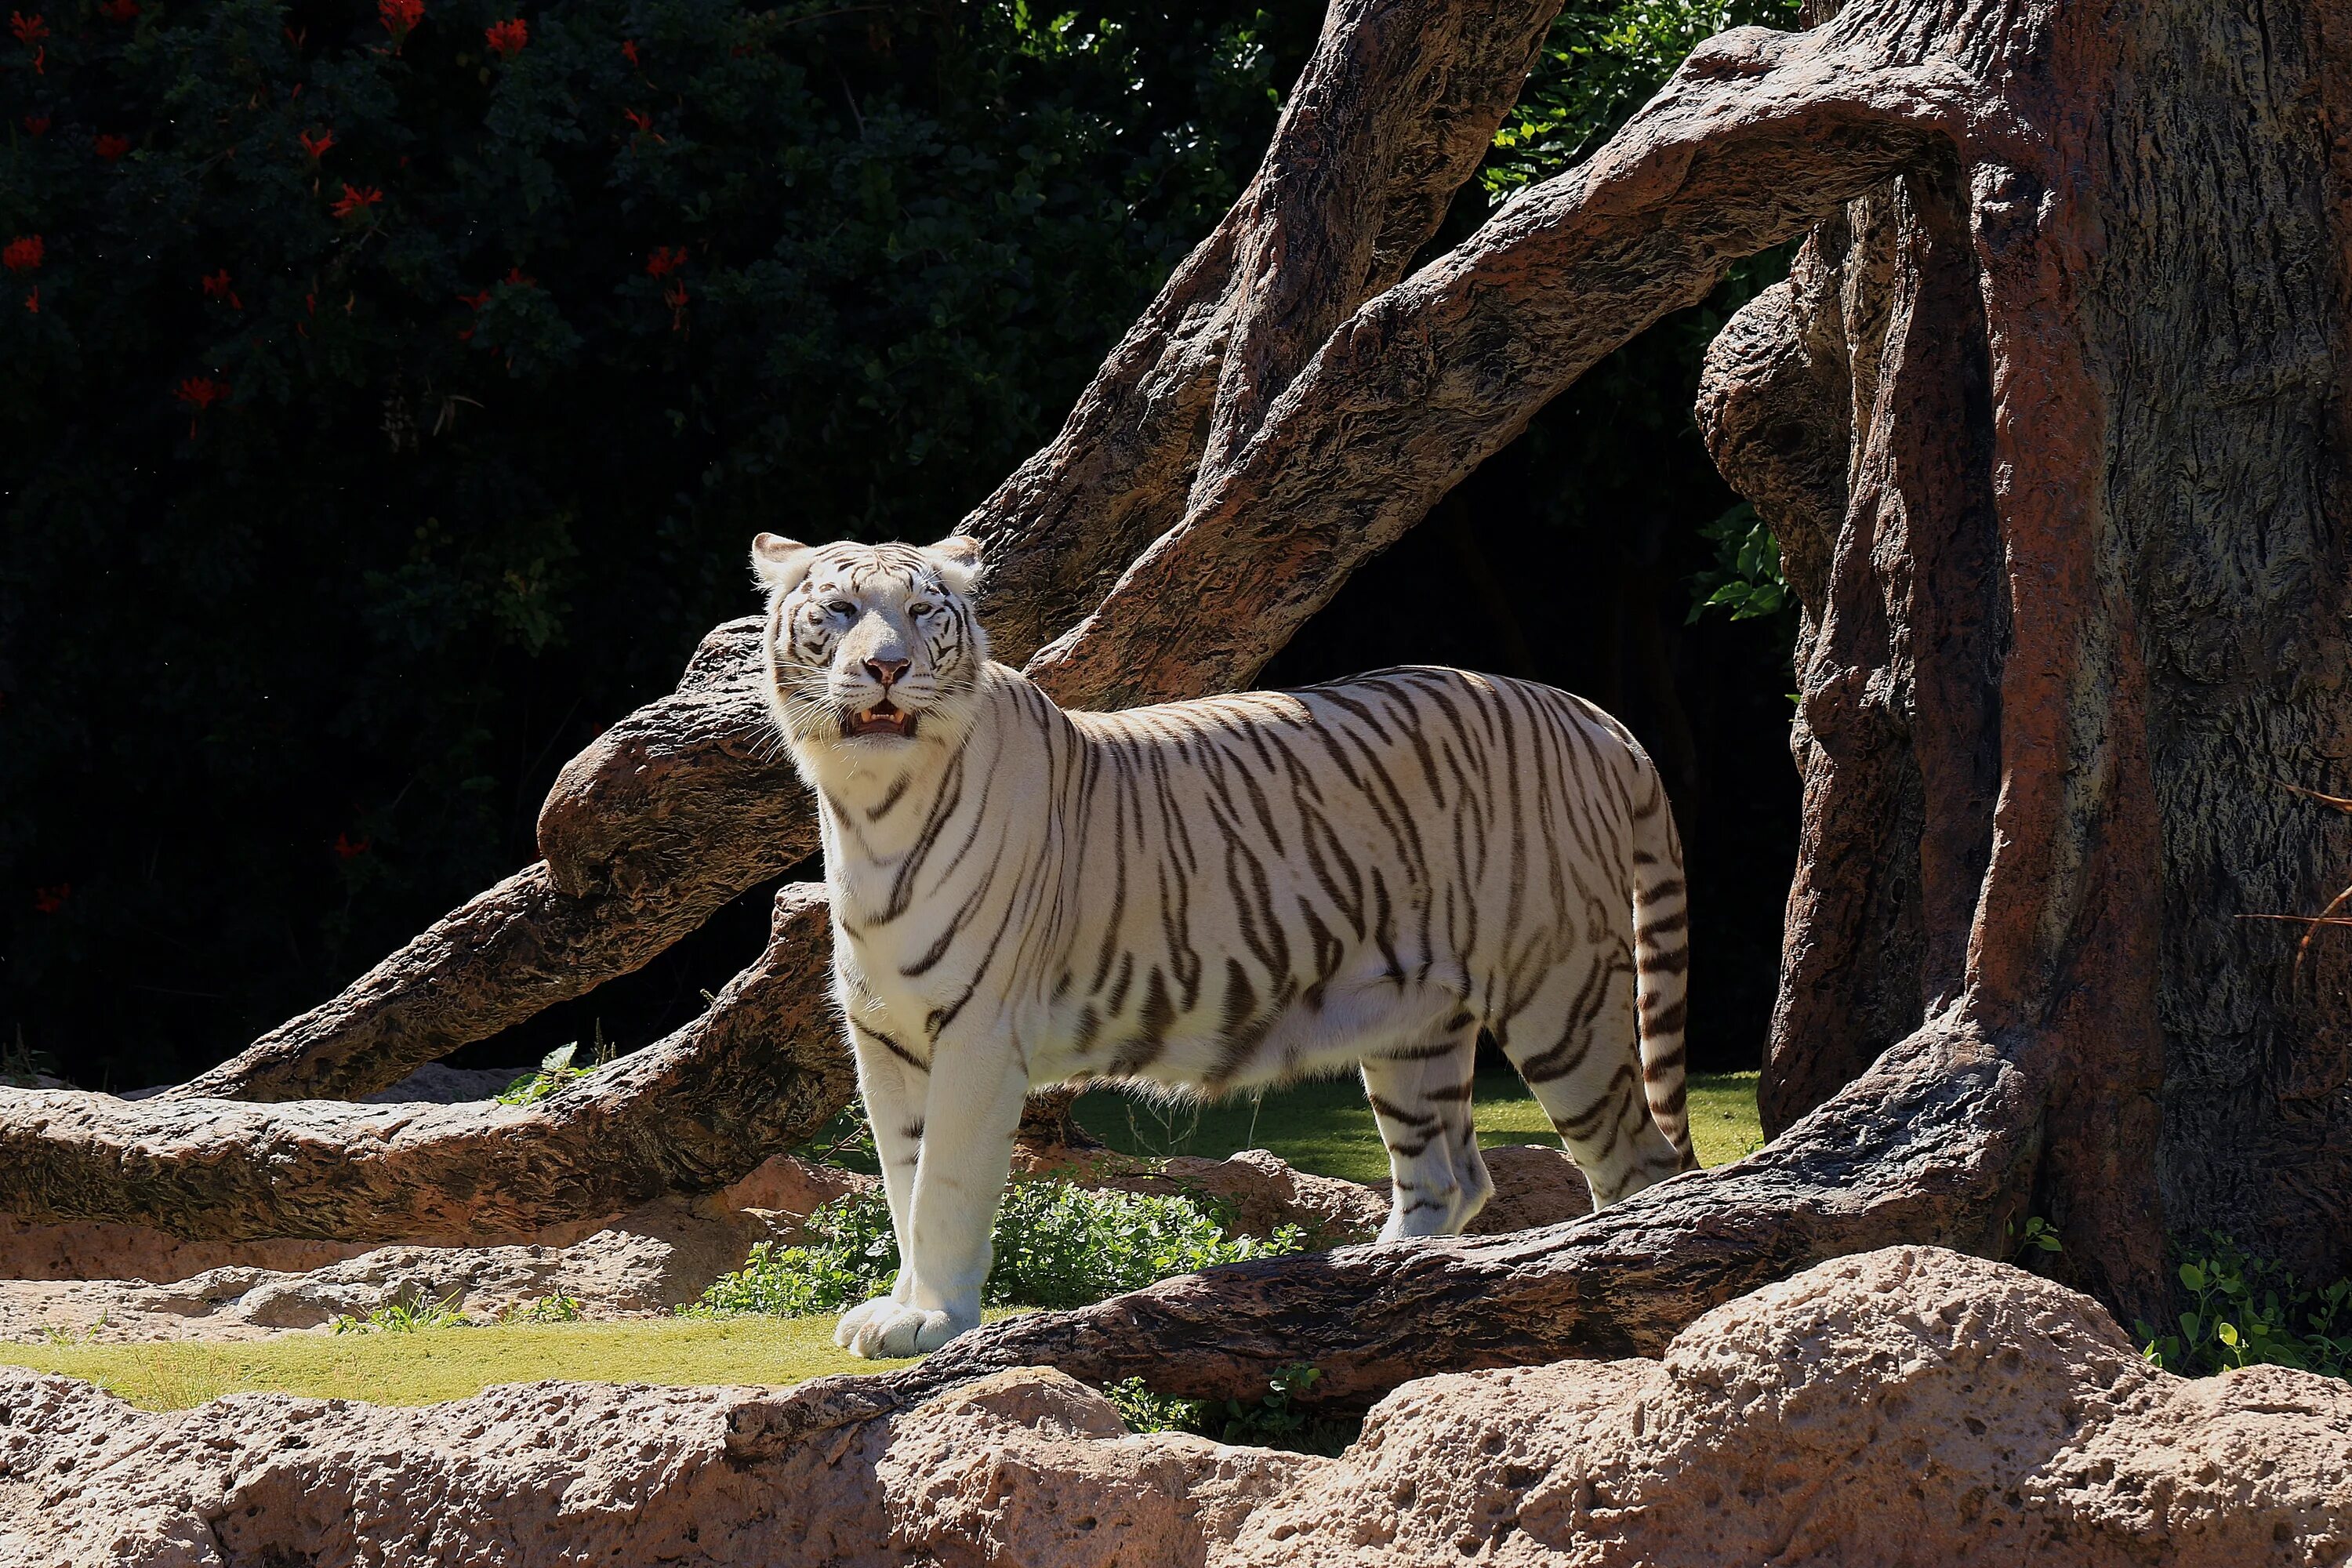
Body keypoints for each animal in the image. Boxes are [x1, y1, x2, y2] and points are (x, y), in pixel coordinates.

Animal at [762, 533, 1703, 1354]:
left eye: (922, 612)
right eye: (841, 610)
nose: (887, 668)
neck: (871, 805)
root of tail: (1594, 716)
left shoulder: (978, 1033)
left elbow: (944, 1185)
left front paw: (935, 1321)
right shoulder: (886, 1036)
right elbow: (902, 1178)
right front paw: (902, 1307)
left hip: (1561, 996)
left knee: (1640, 1170)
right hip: (1414, 1022)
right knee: (1449, 1173)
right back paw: (1378, 1281)